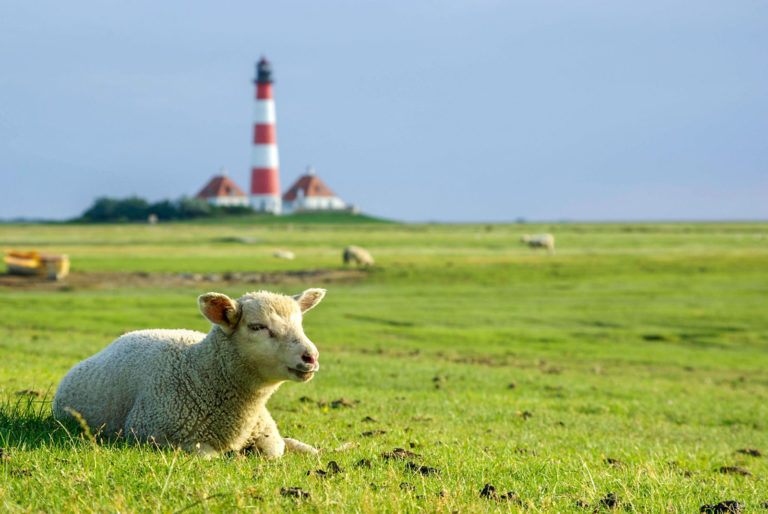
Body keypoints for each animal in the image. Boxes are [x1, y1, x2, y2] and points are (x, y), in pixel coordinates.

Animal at [51, 286, 328, 458]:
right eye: (257, 326)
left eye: (300, 323)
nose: (311, 357)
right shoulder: (151, 433)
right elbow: (209, 454)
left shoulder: (264, 429)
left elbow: (274, 451)